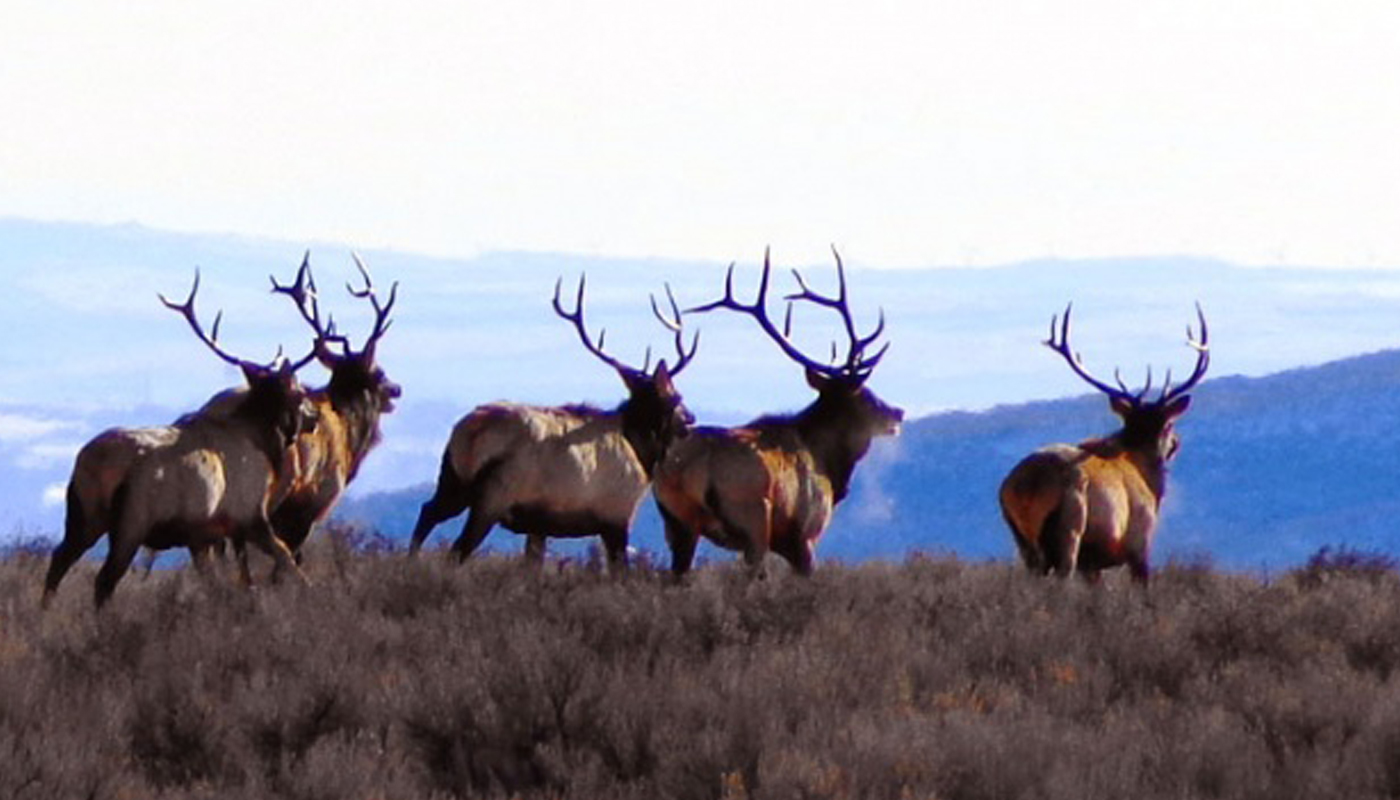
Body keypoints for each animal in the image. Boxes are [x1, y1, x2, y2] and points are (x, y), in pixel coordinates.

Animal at [408, 278, 697, 566]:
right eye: (677, 397)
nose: (690, 419)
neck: (642, 449)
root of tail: (469, 433)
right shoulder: (616, 515)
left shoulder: (540, 525)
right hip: (494, 495)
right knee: (458, 549)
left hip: (452, 480)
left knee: (427, 512)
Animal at [652, 250, 901, 577]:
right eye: (866, 395)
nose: (897, 413)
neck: (830, 465)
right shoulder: (805, 535)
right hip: (754, 515)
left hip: (677, 522)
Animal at [996, 302, 1215, 582]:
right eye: (1169, 425)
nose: (1176, 442)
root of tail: (1026, 485)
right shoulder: (1139, 542)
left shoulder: (1092, 566)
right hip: (1070, 524)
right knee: (1061, 577)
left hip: (1021, 537)